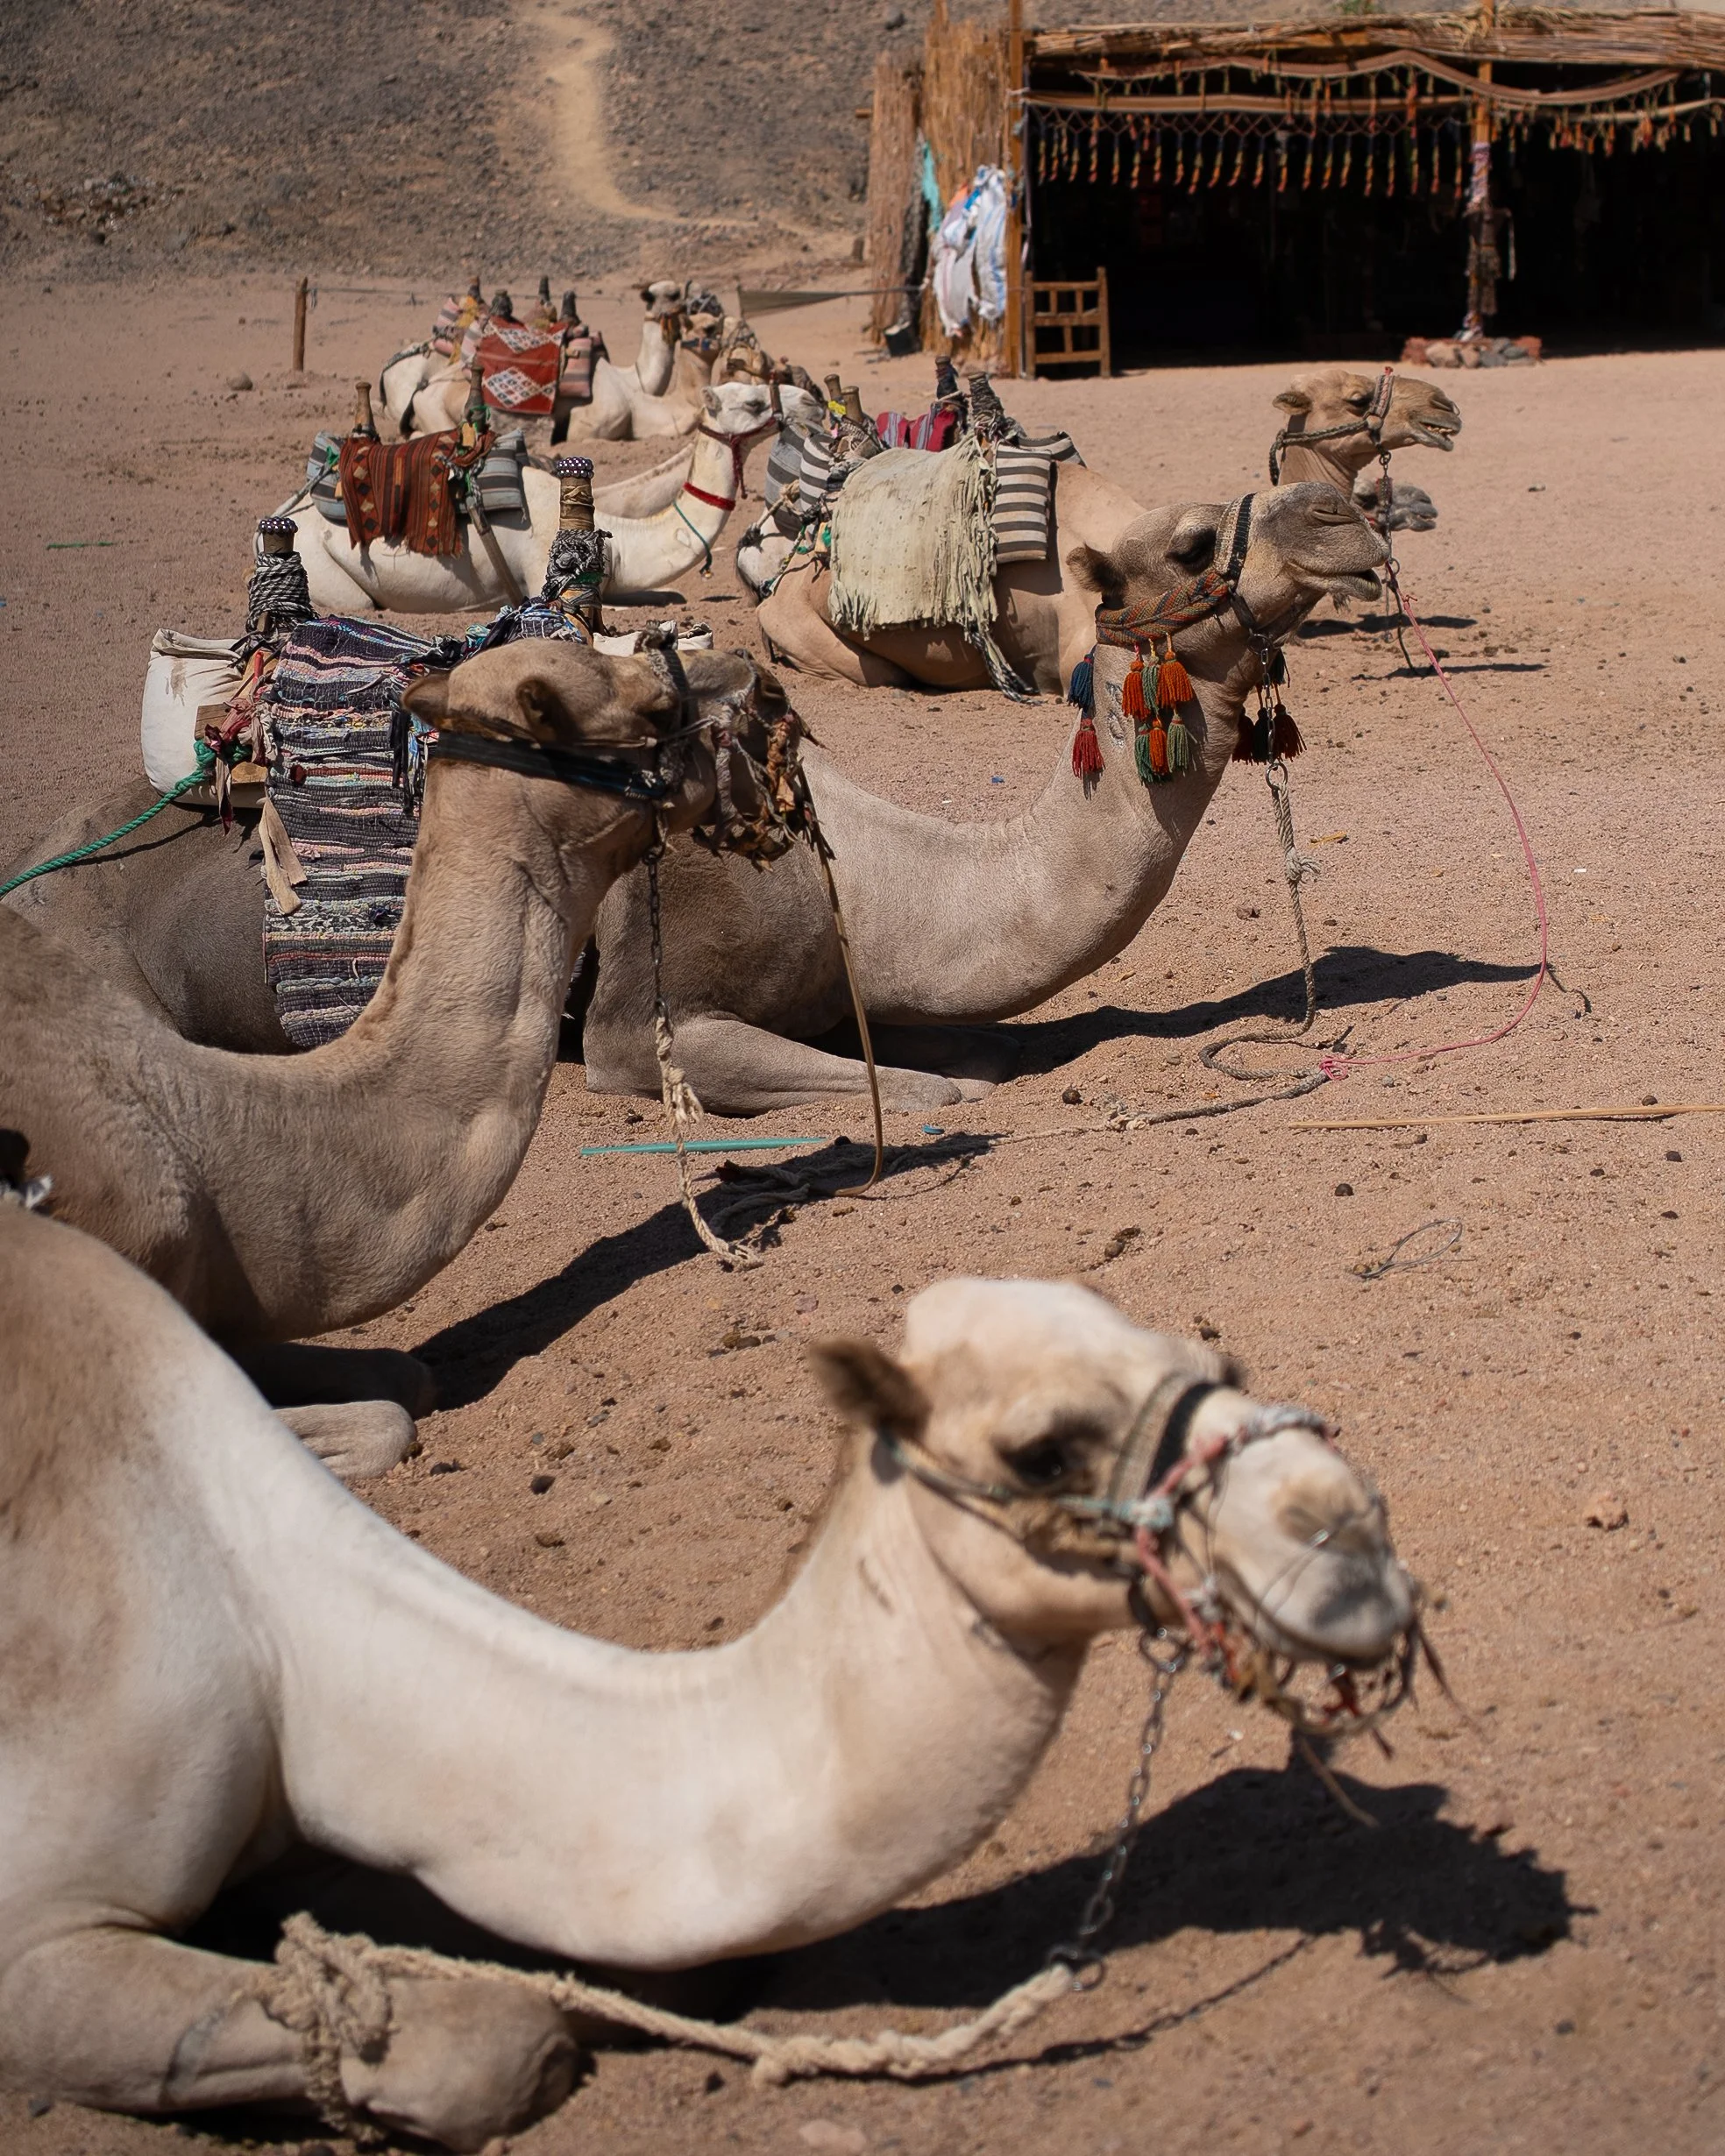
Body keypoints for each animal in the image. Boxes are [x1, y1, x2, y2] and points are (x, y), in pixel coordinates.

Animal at [0, 1207, 1418, 2150]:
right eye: (1042, 1449)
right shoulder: (41, 1928)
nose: (1347, 1539)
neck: (267, 1613)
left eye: (1219, 1369)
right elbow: (498, 2044)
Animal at [585, 483, 1388, 1112]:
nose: (1339, 508)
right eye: (1192, 546)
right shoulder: (639, 1024)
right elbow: (932, 1089)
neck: (846, 884)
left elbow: (978, 1055)